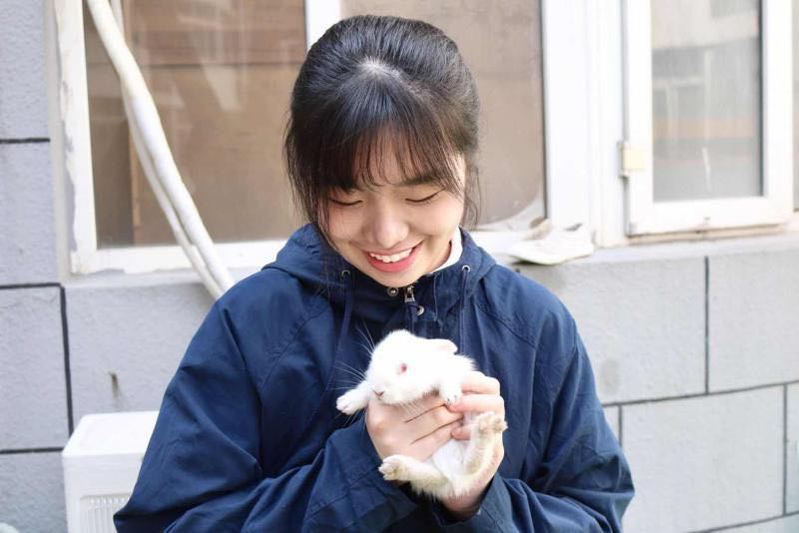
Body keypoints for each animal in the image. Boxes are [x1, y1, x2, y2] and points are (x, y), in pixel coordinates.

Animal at [336, 329, 507, 500]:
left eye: (404, 367)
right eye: (372, 361)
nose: (378, 391)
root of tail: (456, 481)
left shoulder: (453, 370)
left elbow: (447, 378)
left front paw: (451, 396)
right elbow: (366, 388)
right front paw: (345, 403)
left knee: (474, 465)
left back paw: (487, 426)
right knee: (441, 473)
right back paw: (395, 467)